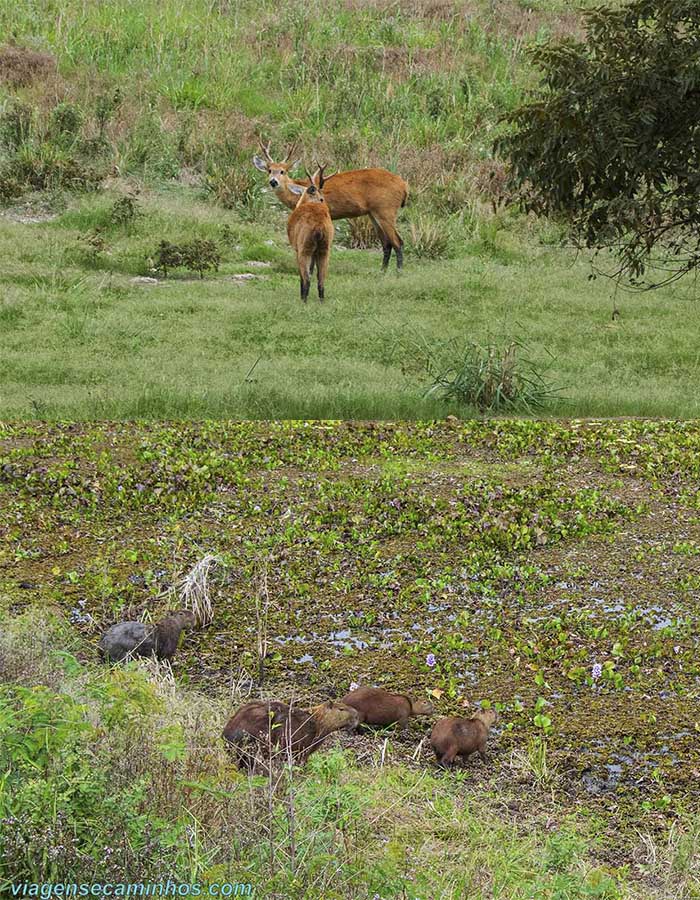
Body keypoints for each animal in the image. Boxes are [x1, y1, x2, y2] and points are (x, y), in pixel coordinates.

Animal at [253, 141, 408, 270]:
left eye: (282, 171)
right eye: (269, 170)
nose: (273, 181)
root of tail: (404, 186)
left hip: (386, 209)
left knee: (398, 241)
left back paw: (398, 271)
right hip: (373, 213)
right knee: (386, 244)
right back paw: (383, 270)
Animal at [288, 169, 336, 306]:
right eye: (322, 198)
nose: (324, 202)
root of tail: (319, 226)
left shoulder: (296, 249)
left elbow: (302, 274)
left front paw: (301, 295)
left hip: (305, 246)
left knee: (307, 278)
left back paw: (304, 301)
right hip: (325, 248)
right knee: (321, 279)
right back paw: (321, 301)